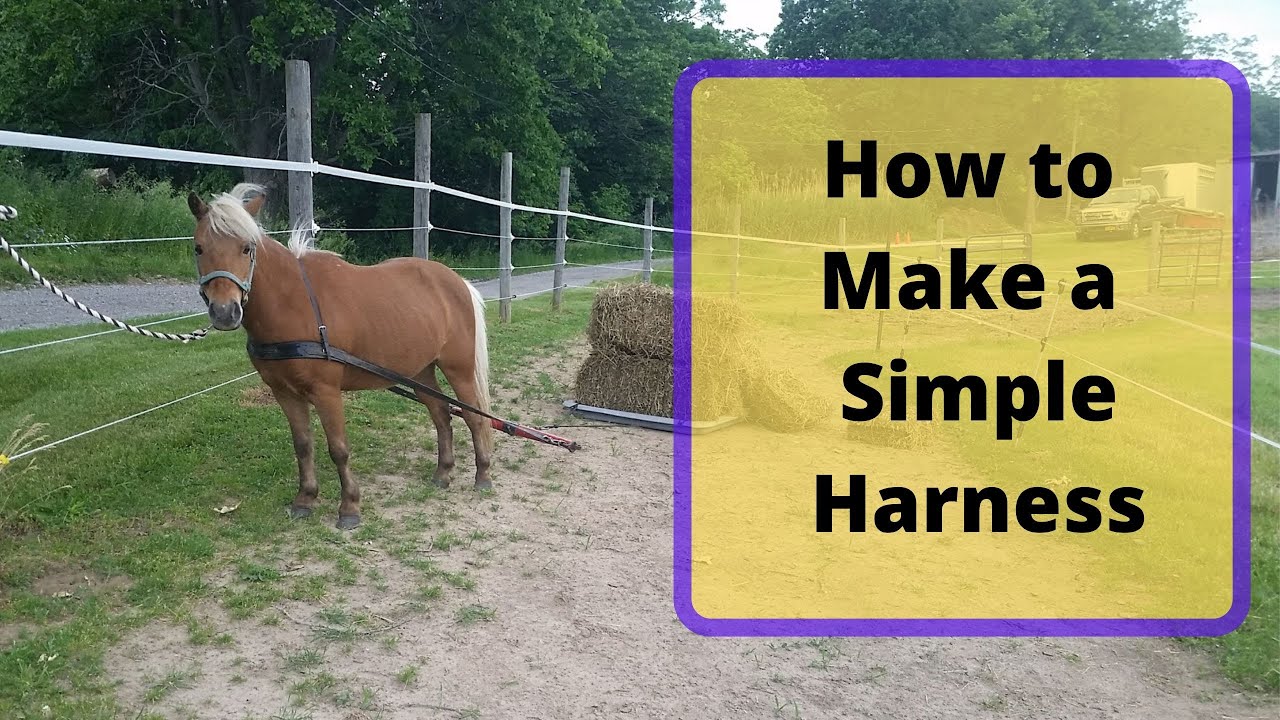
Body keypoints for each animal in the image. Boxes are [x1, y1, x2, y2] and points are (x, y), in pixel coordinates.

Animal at [187, 183, 493, 530]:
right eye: (199, 248)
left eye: (246, 248)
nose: (225, 312)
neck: (295, 304)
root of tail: (457, 282)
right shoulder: (284, 393)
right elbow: (303, 446)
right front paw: (305, 499)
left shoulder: (327, 392)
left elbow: (338, 449)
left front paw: (349, 507)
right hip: (420, 372)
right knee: (441, 414)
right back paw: (442, 473)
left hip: (459, 369)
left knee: (473, 416)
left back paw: (483, 474)